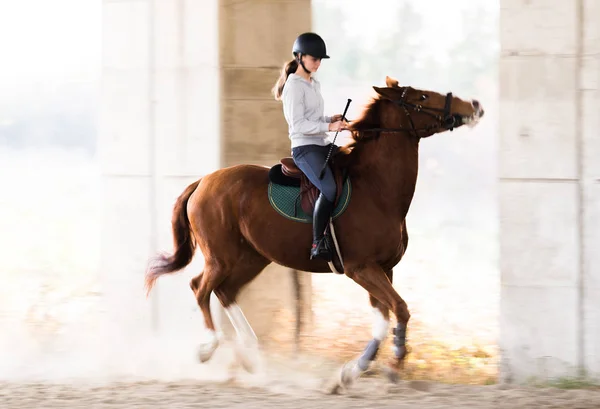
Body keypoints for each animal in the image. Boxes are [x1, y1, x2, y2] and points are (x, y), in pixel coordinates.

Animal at [144, 77, 482, 388]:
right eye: (422, 97)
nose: (475, 105)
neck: (376, 188)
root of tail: (202, 182)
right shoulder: (362, 268)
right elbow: (400, 309)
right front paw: (395, 361)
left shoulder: (383, 269)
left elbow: (383, 317)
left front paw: (353, 371)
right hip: (221, 257)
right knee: (200, 287)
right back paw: (209, 348)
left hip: (253, 258)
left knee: (225, 292)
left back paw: (250, 357)